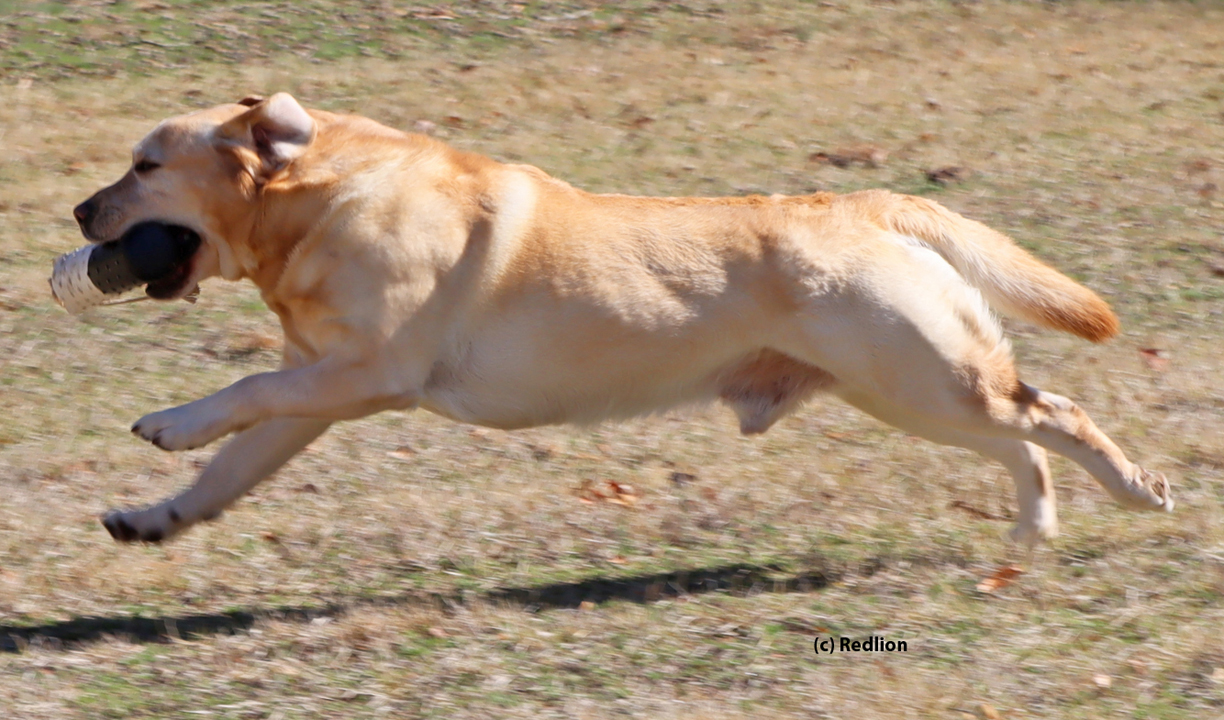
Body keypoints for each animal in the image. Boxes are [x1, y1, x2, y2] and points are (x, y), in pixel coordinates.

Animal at [71, 93, 1173, 546]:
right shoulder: (318, 395)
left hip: (924, 380)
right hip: (912, 393)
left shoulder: (366, 375)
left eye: (144, 165)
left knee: (1055, 416)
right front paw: (155, 515)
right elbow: (230, 467)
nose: (80, 214)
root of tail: (860, 203)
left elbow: (242, 388)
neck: (318, 199)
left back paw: (1135, 492)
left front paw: (168, 422)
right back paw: (1033, 530)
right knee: (1026, 439)